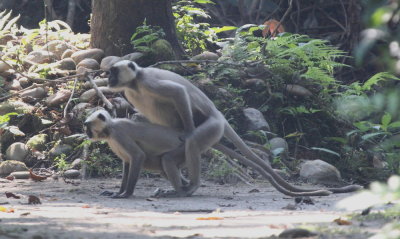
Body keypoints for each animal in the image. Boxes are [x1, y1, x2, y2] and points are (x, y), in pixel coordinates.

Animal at [107, 60, 362, 197]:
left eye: (113, 71)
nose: (107, 78)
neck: (134, 82)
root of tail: (221, 117)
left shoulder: (148, 81)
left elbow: (178, 93)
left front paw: (186, 131)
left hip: (213, 127)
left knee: (193, 142)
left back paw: (191, 185)